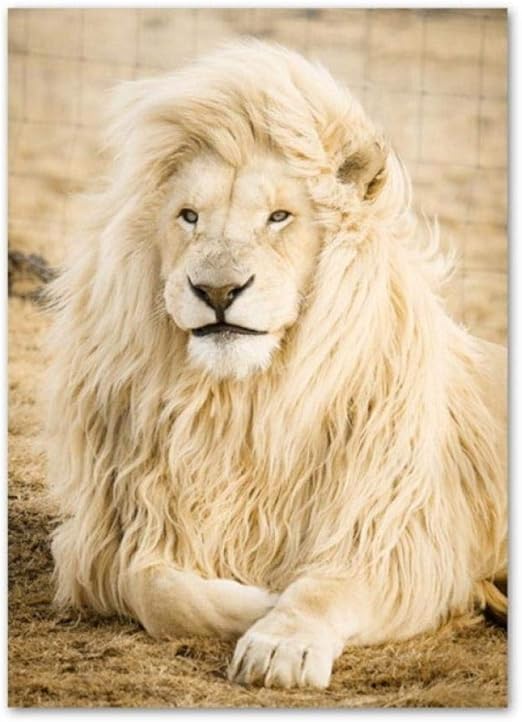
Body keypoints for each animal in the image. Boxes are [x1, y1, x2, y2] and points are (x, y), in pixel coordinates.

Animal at [46, 40, 507, 689]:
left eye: (279, 217)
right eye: (189, 216)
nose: (216, 290)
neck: (242, 404)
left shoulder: (396, 538)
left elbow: (323, 588)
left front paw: (279, 641)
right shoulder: (118, 534)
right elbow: (156, 588)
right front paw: (258, 601)